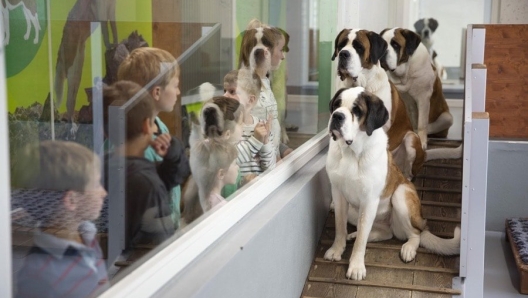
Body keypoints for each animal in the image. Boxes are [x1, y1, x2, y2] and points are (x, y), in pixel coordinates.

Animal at [322, 85, 458, 280]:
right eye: (336, 105)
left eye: (357, 110)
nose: (337, 116)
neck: (351, 152)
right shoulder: (338, 195)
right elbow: (340, 226)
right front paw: (336, 250)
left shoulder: (369, 201)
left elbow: (362, 240)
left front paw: (356, 267)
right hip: (354, 212)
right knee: (384, 232)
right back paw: (356, 234)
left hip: (401, 195)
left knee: (416, 233)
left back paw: (408, 248)